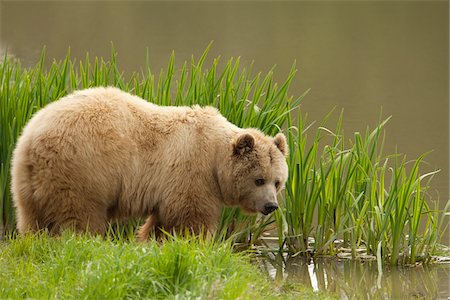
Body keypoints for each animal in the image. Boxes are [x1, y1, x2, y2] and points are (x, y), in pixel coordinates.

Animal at [10, 86, 288, 239]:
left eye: (278, 182)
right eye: (259, 179)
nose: (271, 206)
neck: (216, 160)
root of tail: (33, 137)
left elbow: (162, 221)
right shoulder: (192, 172)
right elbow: (190, 217)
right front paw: (194, 244)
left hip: (27, 183)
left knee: (31, 220)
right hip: (81, 170)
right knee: (79, 217)